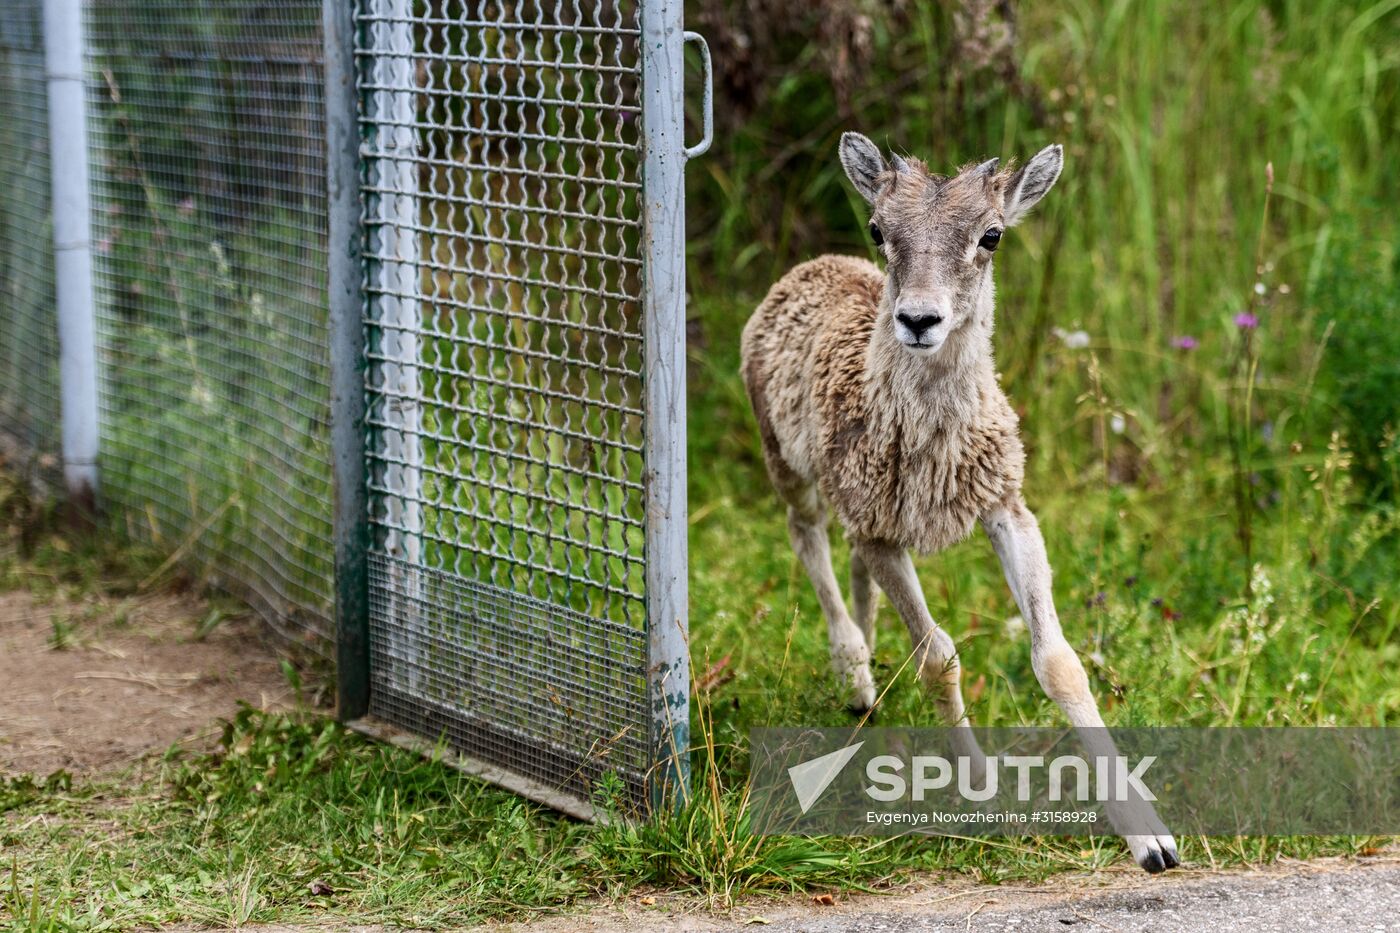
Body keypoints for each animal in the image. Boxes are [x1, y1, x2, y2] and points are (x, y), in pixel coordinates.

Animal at [739, 132, 1176, 874]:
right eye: (879, 228)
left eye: (991, 235)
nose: (919, 319)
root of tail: (803, 271)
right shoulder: (886, 532)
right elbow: (940, 657)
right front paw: (982, 793)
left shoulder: (1005, 504)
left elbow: (1058, 661)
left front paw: (1153, 841)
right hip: (786, 462)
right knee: (808, 537)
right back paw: (853, 673)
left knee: (846, 558)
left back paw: (867, 686)